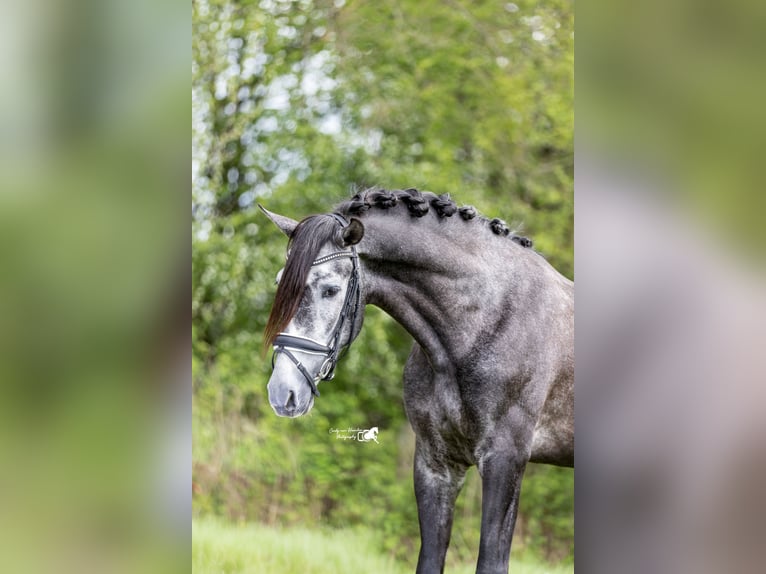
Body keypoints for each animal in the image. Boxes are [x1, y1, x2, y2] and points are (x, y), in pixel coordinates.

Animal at [260, 188, 573, 574]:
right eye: (280, 283)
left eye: (331, 290)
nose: (282, 391)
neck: (486, 318)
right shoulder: (435, 463)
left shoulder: (505, 460)